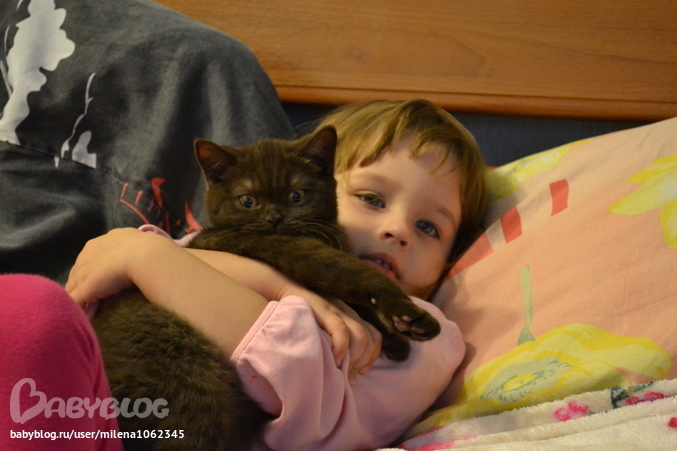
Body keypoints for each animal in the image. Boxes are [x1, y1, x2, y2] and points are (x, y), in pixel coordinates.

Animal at [92, 126, 441, 450]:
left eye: (296, 196)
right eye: (248, 201)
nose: (275, 218)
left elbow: (358, 299)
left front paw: (396, 338)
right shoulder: (290, 250)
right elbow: (354, 273)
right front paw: (411, 318)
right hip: (186, 383)